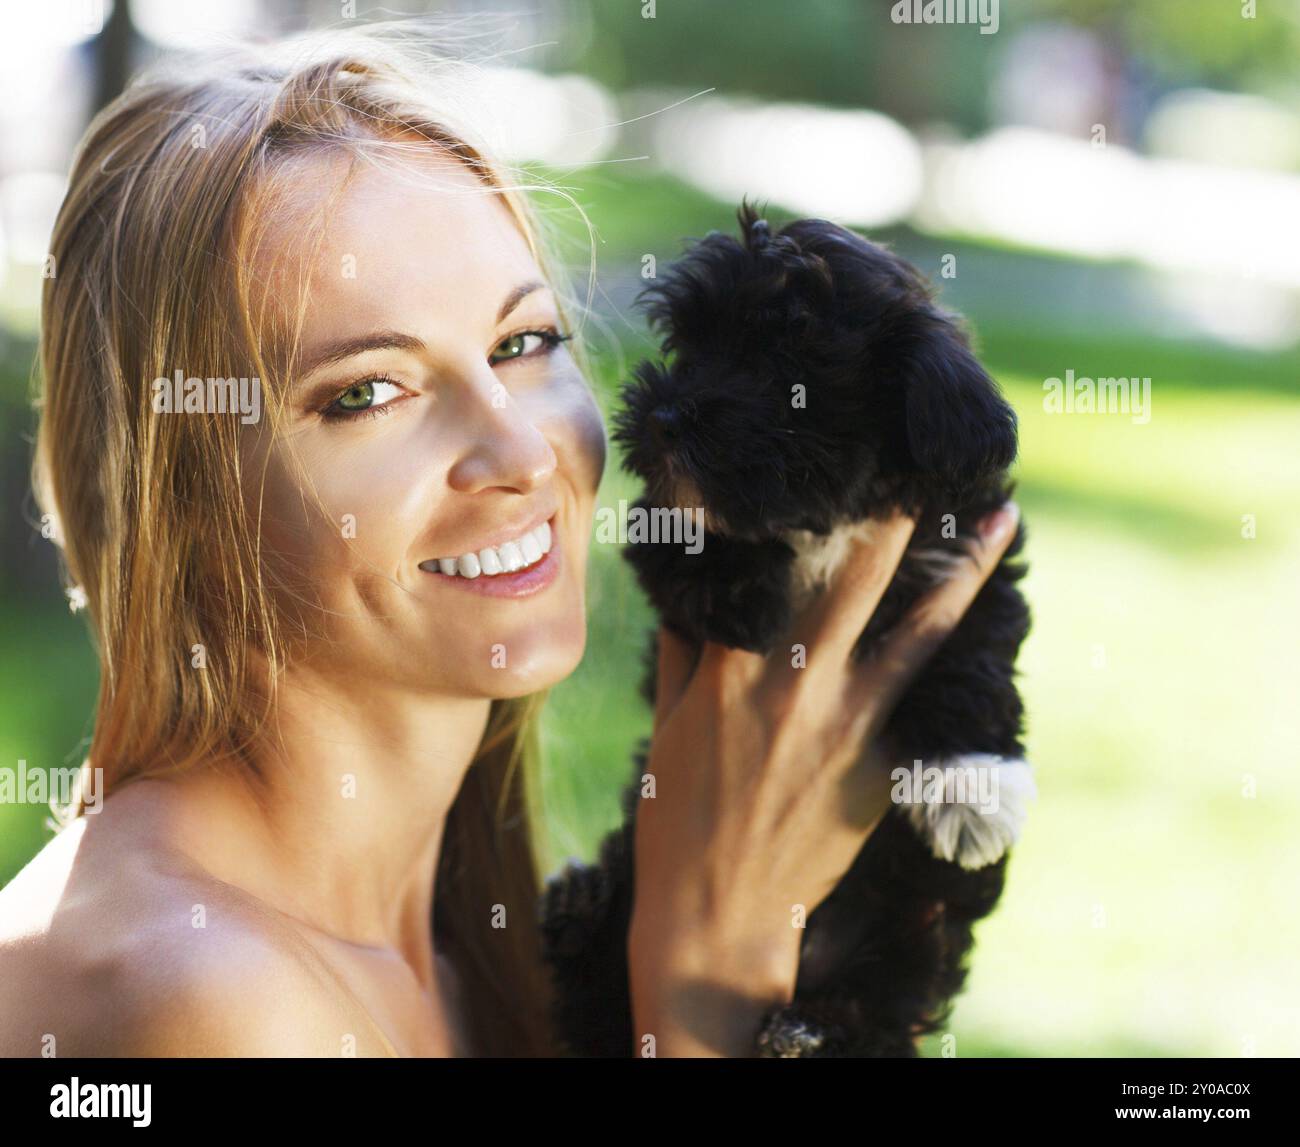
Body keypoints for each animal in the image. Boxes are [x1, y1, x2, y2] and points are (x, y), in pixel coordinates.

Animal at [538, 201, 1034, 1050]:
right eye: (690, 345)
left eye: (785, 370)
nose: (666, 415)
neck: (823, 517)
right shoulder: (663, 516)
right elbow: (684, 535)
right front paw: (743, 590)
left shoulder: (971, 554)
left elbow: (975, 656)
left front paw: (971, 781)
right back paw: (581, 913)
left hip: (916, 921)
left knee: (890, 998)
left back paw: (811, 1031)